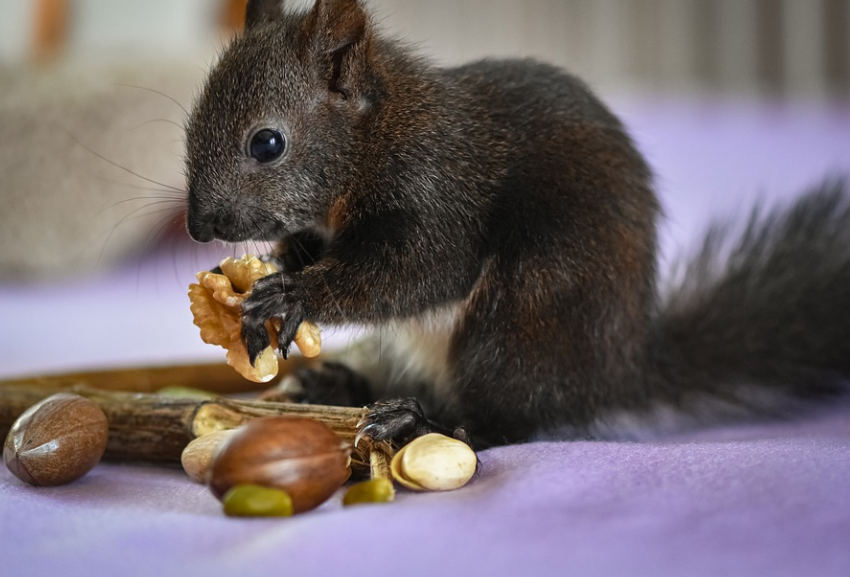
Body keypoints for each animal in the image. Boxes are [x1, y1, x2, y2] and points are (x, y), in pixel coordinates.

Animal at [186, 0, 848, 446]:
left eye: (267, 143)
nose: (197, 227)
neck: (376, 136)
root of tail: (623, 370)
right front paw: (266, 267)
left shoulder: (439, 190)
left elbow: (422, 272)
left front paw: (292, 294)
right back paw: (336, 387)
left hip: (523, 317)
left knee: (500, 423)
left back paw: (417, 421)